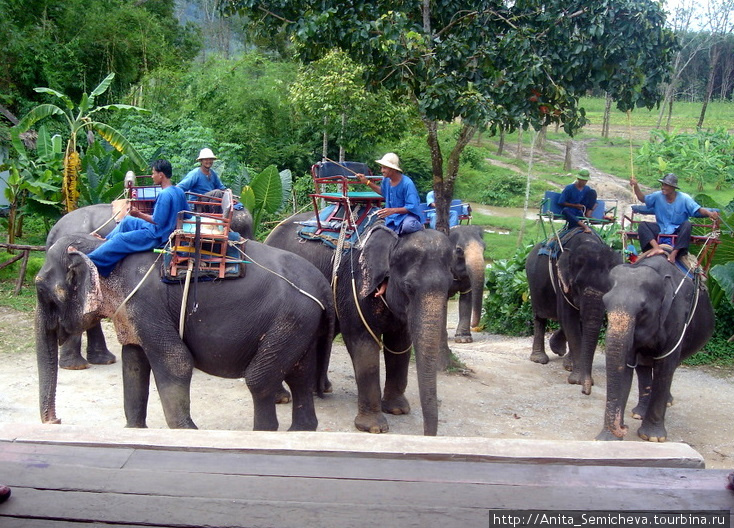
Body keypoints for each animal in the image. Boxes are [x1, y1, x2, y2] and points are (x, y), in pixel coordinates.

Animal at [36, 233, 332, 432]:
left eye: (41, 290)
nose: (56, 420)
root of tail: (322, 284)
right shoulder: (131, 313)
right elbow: (133, 363)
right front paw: (135, 431)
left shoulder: (146, 305)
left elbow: (175, 361)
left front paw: (188, 432)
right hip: (301, 324)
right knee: (299, 376)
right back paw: (300, 433)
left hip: (290, 320)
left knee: (259, 380)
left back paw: (264, 434)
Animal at [268, 216, 454, 438]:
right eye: (408, 286)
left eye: (450, 288)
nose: (427, 435)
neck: (392, 236)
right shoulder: (354, 287)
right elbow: (363, 342)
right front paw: (374, 428)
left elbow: (400, 344)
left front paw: (397, 410)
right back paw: (282, 398)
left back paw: (322, 388)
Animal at [528, 229, 624, 394]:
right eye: (577, 284)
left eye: (610, 287)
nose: (586, 390)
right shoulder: (561, 281)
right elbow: (568, 318)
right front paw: (577, 381)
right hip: (533, 282)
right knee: (539, 317)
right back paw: (539, 359)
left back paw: (563, 356)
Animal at [600, 255, 716, 442]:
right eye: (605, 304)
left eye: (642, 310)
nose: (623, 427)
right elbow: (625, 367)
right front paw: (606, 439)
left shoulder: (677, 318)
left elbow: (665, 366)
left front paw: (652, 438)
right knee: (644, 366)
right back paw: (639, 413)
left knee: (669, 367)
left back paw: (667, 402)